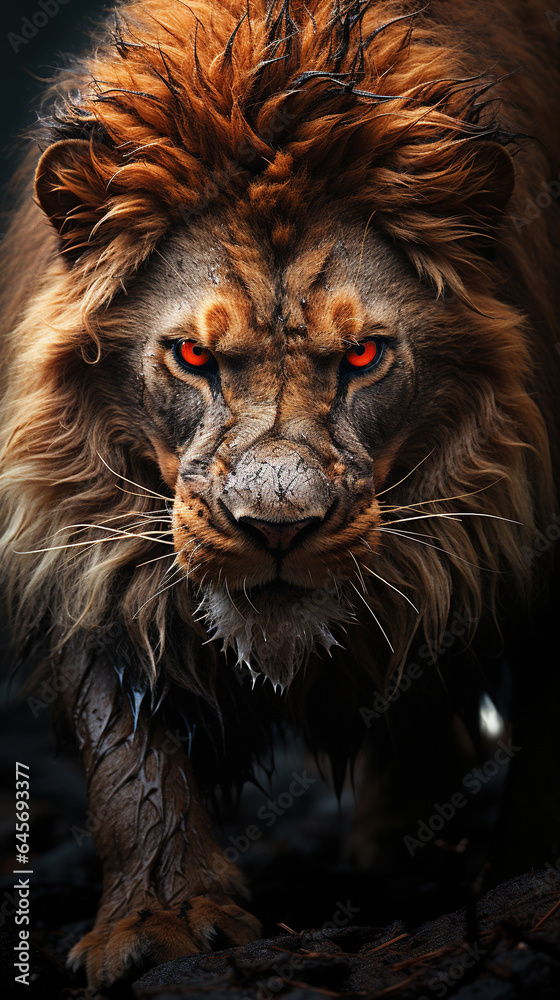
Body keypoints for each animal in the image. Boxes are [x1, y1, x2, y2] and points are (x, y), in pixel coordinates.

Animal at [1, 0, 559, 988]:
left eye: (364, 354)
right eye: (192, 355)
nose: (276, 529)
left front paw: (526, 878)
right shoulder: (80, 526)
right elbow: (123, 737)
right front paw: (161, 918)